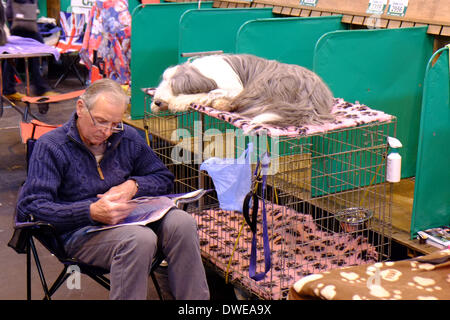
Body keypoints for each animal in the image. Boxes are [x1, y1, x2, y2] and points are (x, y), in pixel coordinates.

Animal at [151, 53, 334, 126]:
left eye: (174, 86)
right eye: (163, 82)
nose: (158, 102)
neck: (203, 73)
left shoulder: (234, 88)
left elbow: (207, 93)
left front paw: (178, 102)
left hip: (266, 82)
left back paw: (222, 104)